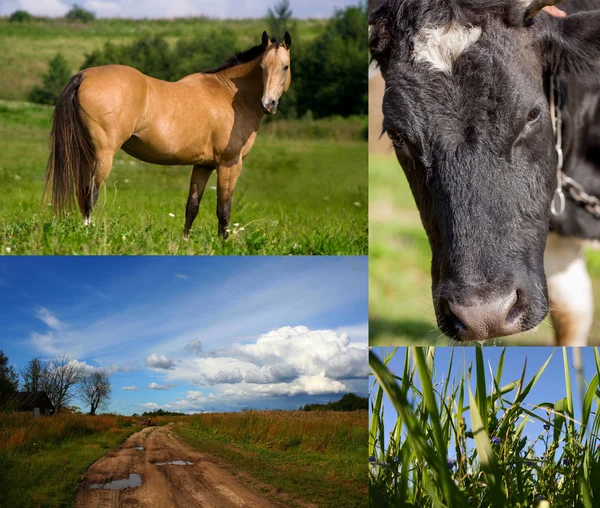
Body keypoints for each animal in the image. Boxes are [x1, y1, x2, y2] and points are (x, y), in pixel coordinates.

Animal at [44, 30, 290, 239]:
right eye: (262, 66)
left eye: (285, 66)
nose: (269, 104)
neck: (230, 95)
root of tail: (83, 76)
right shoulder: (230, 164)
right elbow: (224, 209)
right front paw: (224, 242)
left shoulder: (203, 165)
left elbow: (192, 206)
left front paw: (185, 241)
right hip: (103, 156)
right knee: (90, 194)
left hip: (85, 155)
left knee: (81, 191)